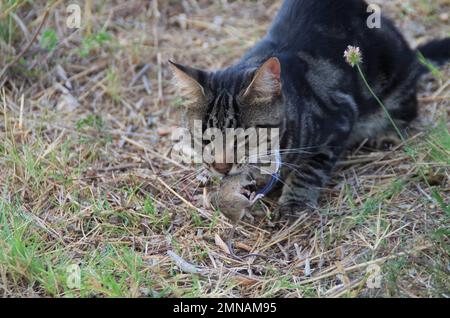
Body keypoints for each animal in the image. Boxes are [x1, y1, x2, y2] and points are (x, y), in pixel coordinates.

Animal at [171, 0, 450, 219]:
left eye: (245, 138)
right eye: (204, 138)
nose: (221, 167)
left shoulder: (340, 119)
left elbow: (310, 168)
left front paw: (294, 201)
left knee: (407, 108)